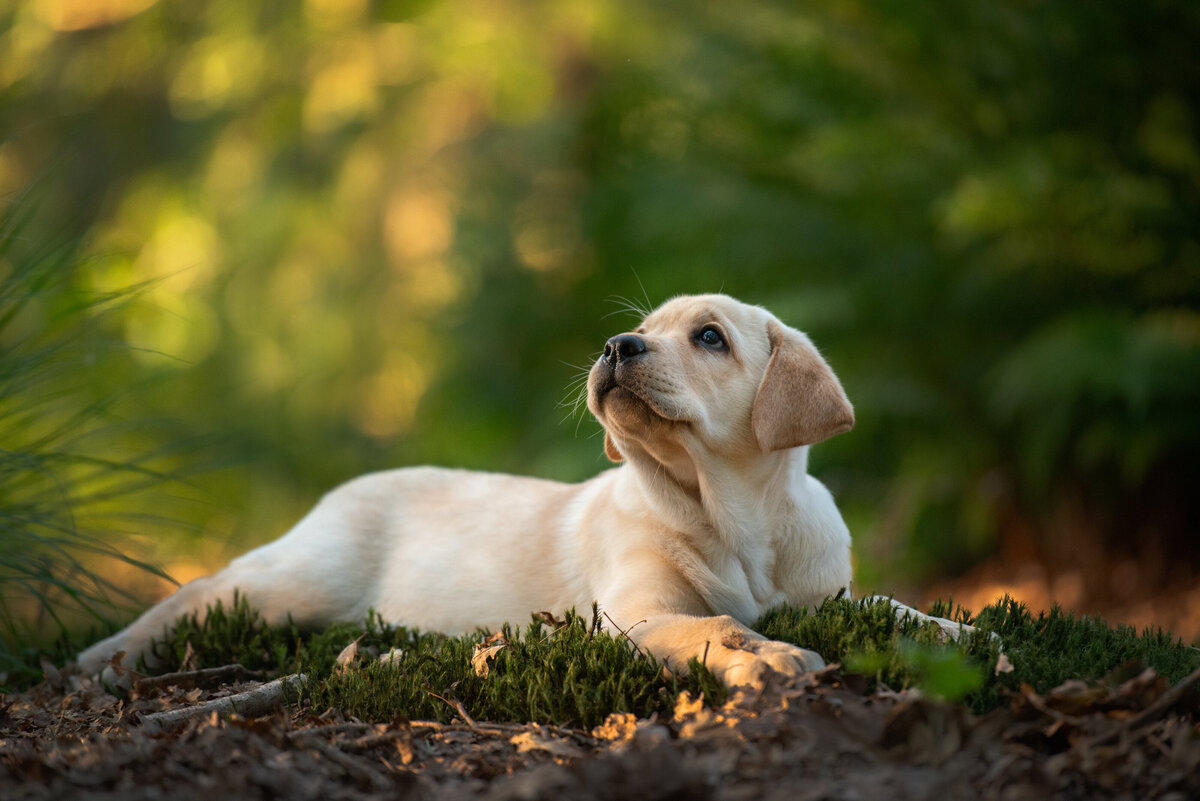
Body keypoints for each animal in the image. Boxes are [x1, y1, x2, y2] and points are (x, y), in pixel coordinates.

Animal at [79, 297, 950, 685]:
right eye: (644, 329)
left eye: (710, 338)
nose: (616, 345)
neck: (732, 515)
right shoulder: (638, 613)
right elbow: (715, 626)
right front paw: (762, 656)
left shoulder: (829, 594)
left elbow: (890, 606)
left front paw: (950, 630)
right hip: (298, 579)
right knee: (199, 590)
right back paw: (107, 656)